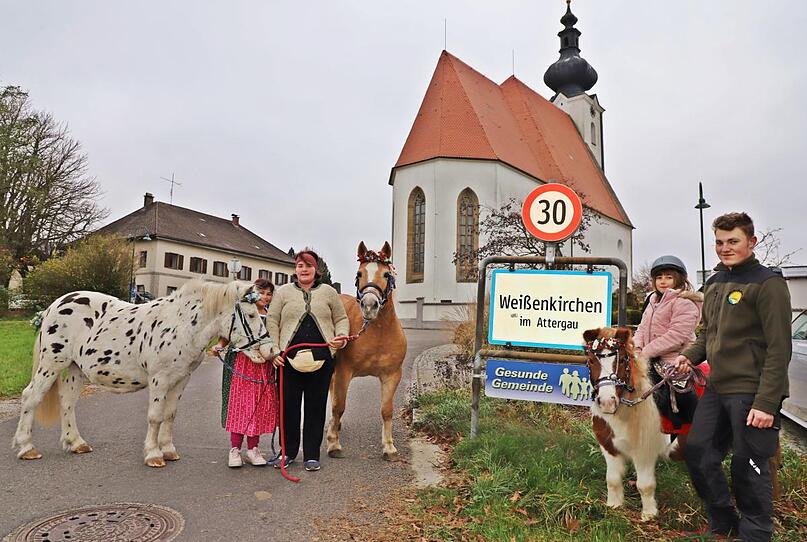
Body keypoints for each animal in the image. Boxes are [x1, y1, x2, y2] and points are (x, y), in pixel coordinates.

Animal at [11, 280, 272, 468]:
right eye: (251, 315)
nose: (269, 350)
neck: (182, 325)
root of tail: (53, 307)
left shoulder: (181, 379)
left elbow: (170, 415)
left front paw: (168, 450)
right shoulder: (160, 379)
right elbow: (155, 416)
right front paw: (154, 454)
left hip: (75, 368)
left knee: (67, 402)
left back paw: (76, 443)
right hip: (52, 363)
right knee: (31, 397)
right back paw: (27, 447)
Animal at [326, 244, 408, 462]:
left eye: (387, 274)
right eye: (359, 273)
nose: (370, 305)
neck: (377, 332)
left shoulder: (391, 376)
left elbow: (386, 410)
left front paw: (389, 447)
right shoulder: (344, 373)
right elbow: (339, 406)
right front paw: (333, 444)